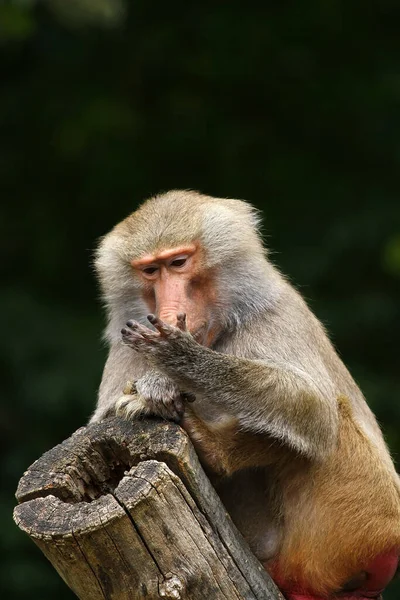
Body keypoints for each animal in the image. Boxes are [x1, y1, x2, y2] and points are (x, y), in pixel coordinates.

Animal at [90, 190, 400, 596]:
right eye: (151, 271)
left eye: (178, 262)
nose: (169, 314)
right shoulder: (124, 346)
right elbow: (100, 428)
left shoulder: (276, 311)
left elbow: (314, 410)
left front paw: (179, 363)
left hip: (362, 522)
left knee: (327, 419)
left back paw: (214, 449)